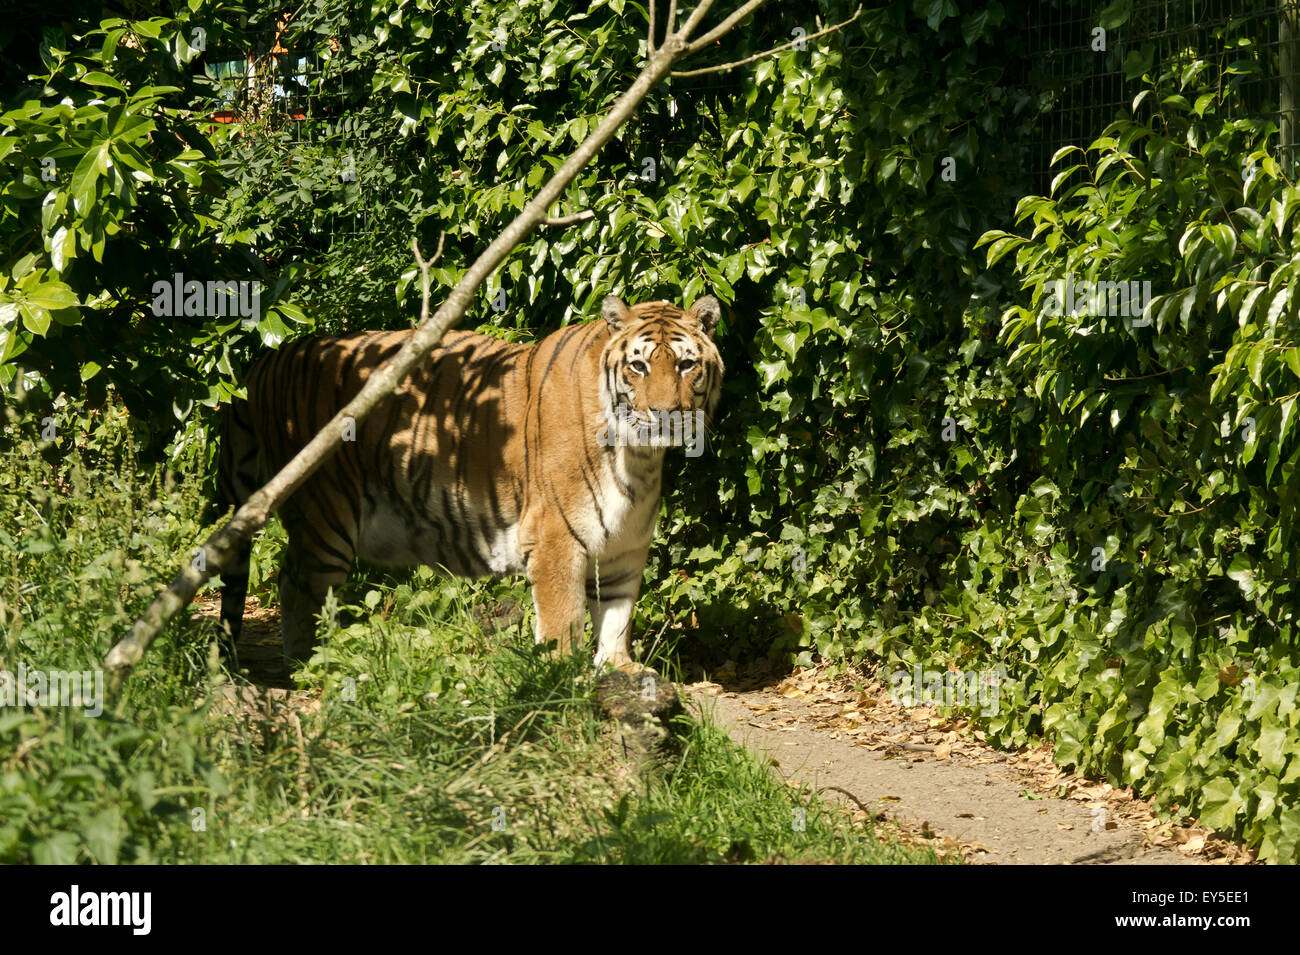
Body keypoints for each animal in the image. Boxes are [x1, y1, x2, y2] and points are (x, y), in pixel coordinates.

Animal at [216, 293, 724, 668]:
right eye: (639, 366)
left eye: (686, 365)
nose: (666, 414)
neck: (637, 459)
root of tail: (269, 358)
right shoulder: (555, 539)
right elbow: (563, 623)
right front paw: (563, 681)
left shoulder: (624, 549)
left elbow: (617, 618)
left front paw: (618, 671)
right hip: (325, 514)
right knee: (297, 586)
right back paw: (311, 665)